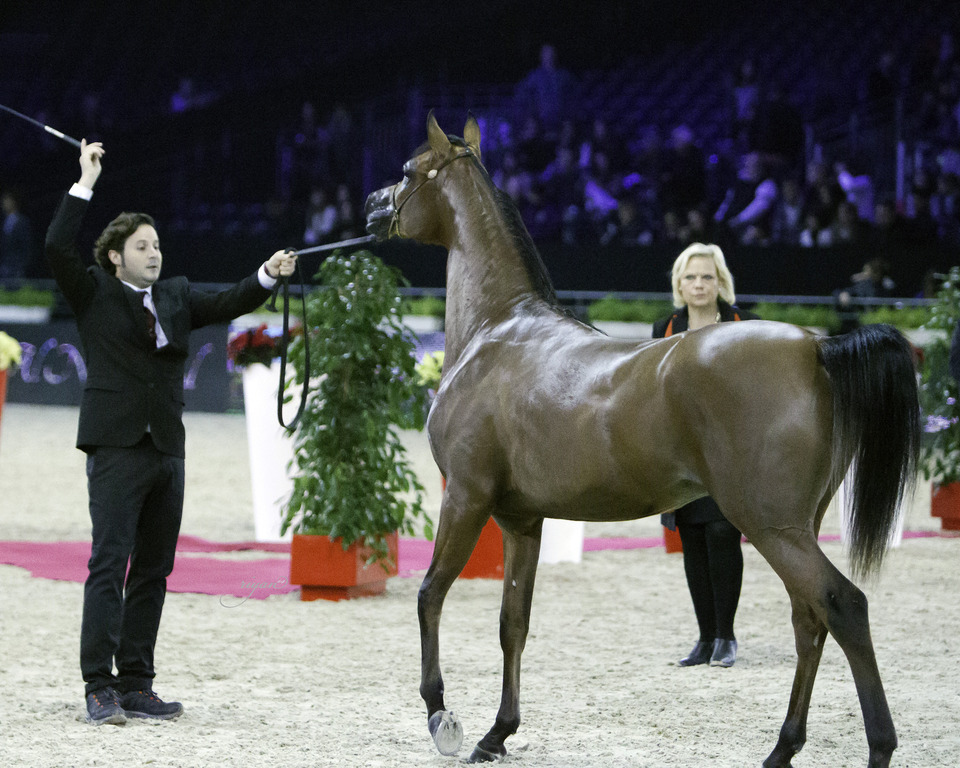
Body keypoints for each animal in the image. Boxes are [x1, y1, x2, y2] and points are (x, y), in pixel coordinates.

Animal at [364, 112, 920, 767]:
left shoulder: (466, 498)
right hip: (795, 527)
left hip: (771, 526)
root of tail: (815, 346)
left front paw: (441, 716)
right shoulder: (521, 520)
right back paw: (781, 749)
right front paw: (497, 733)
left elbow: (430, 595)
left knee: (843, 606)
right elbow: (513, 623)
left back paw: (876, 747)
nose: (372, 207)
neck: (497, 330)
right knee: (809, 621)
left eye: (407, 171)